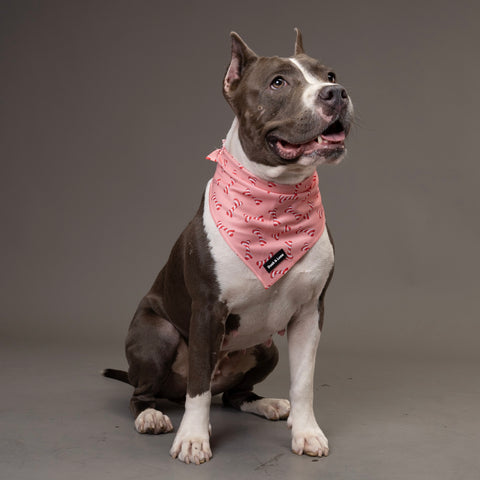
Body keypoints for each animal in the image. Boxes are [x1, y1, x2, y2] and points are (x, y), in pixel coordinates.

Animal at [104, 29, 352, 464]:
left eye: (330, 74)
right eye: (278, 82)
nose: (336, 93)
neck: (276, 202)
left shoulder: (310, 314)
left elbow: (303, 382)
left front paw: (306, 432)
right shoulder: (207, 312)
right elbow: (199, 389)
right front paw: (192, 439)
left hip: (266, 349)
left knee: (234, 395)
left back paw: (267, 404)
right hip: (157, 335)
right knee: (148, 392)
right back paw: (151, 415)